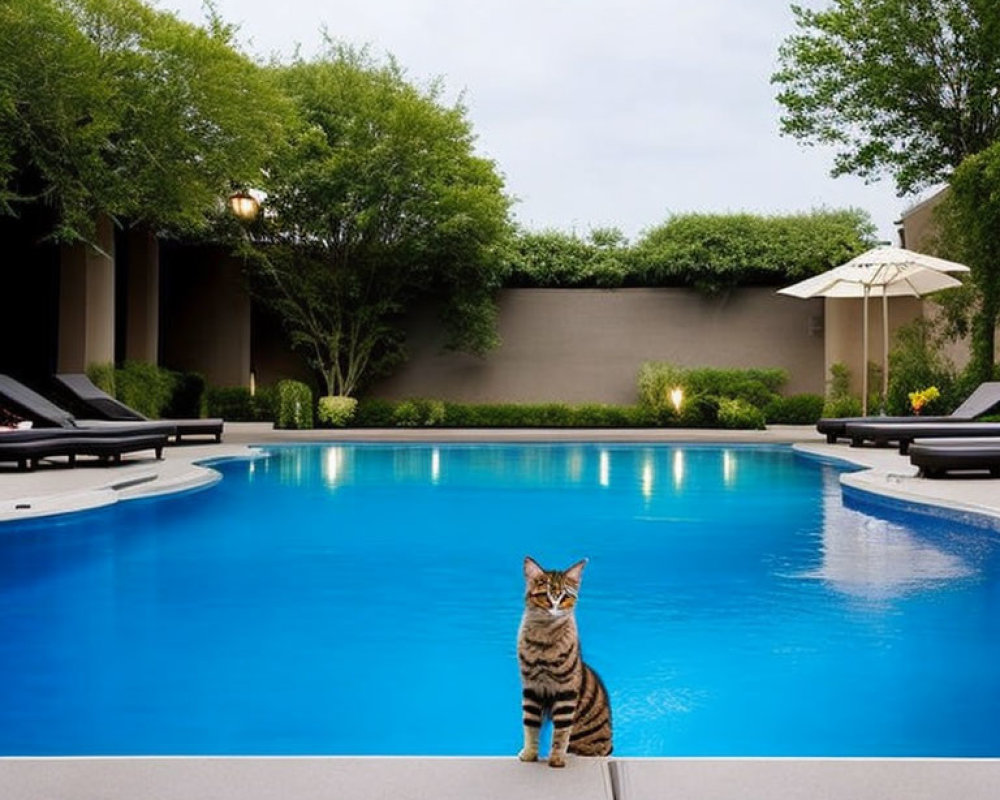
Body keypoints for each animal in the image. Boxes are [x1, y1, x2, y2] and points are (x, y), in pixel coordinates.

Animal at [520, 556, 612, 768]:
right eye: (544, 596)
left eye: (564, 598)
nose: (554, 610)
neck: (544, 643)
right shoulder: (531, 688)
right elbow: (530, 725)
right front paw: (529, 754)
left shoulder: (566, 692)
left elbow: (561, 732)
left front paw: (556, 759)